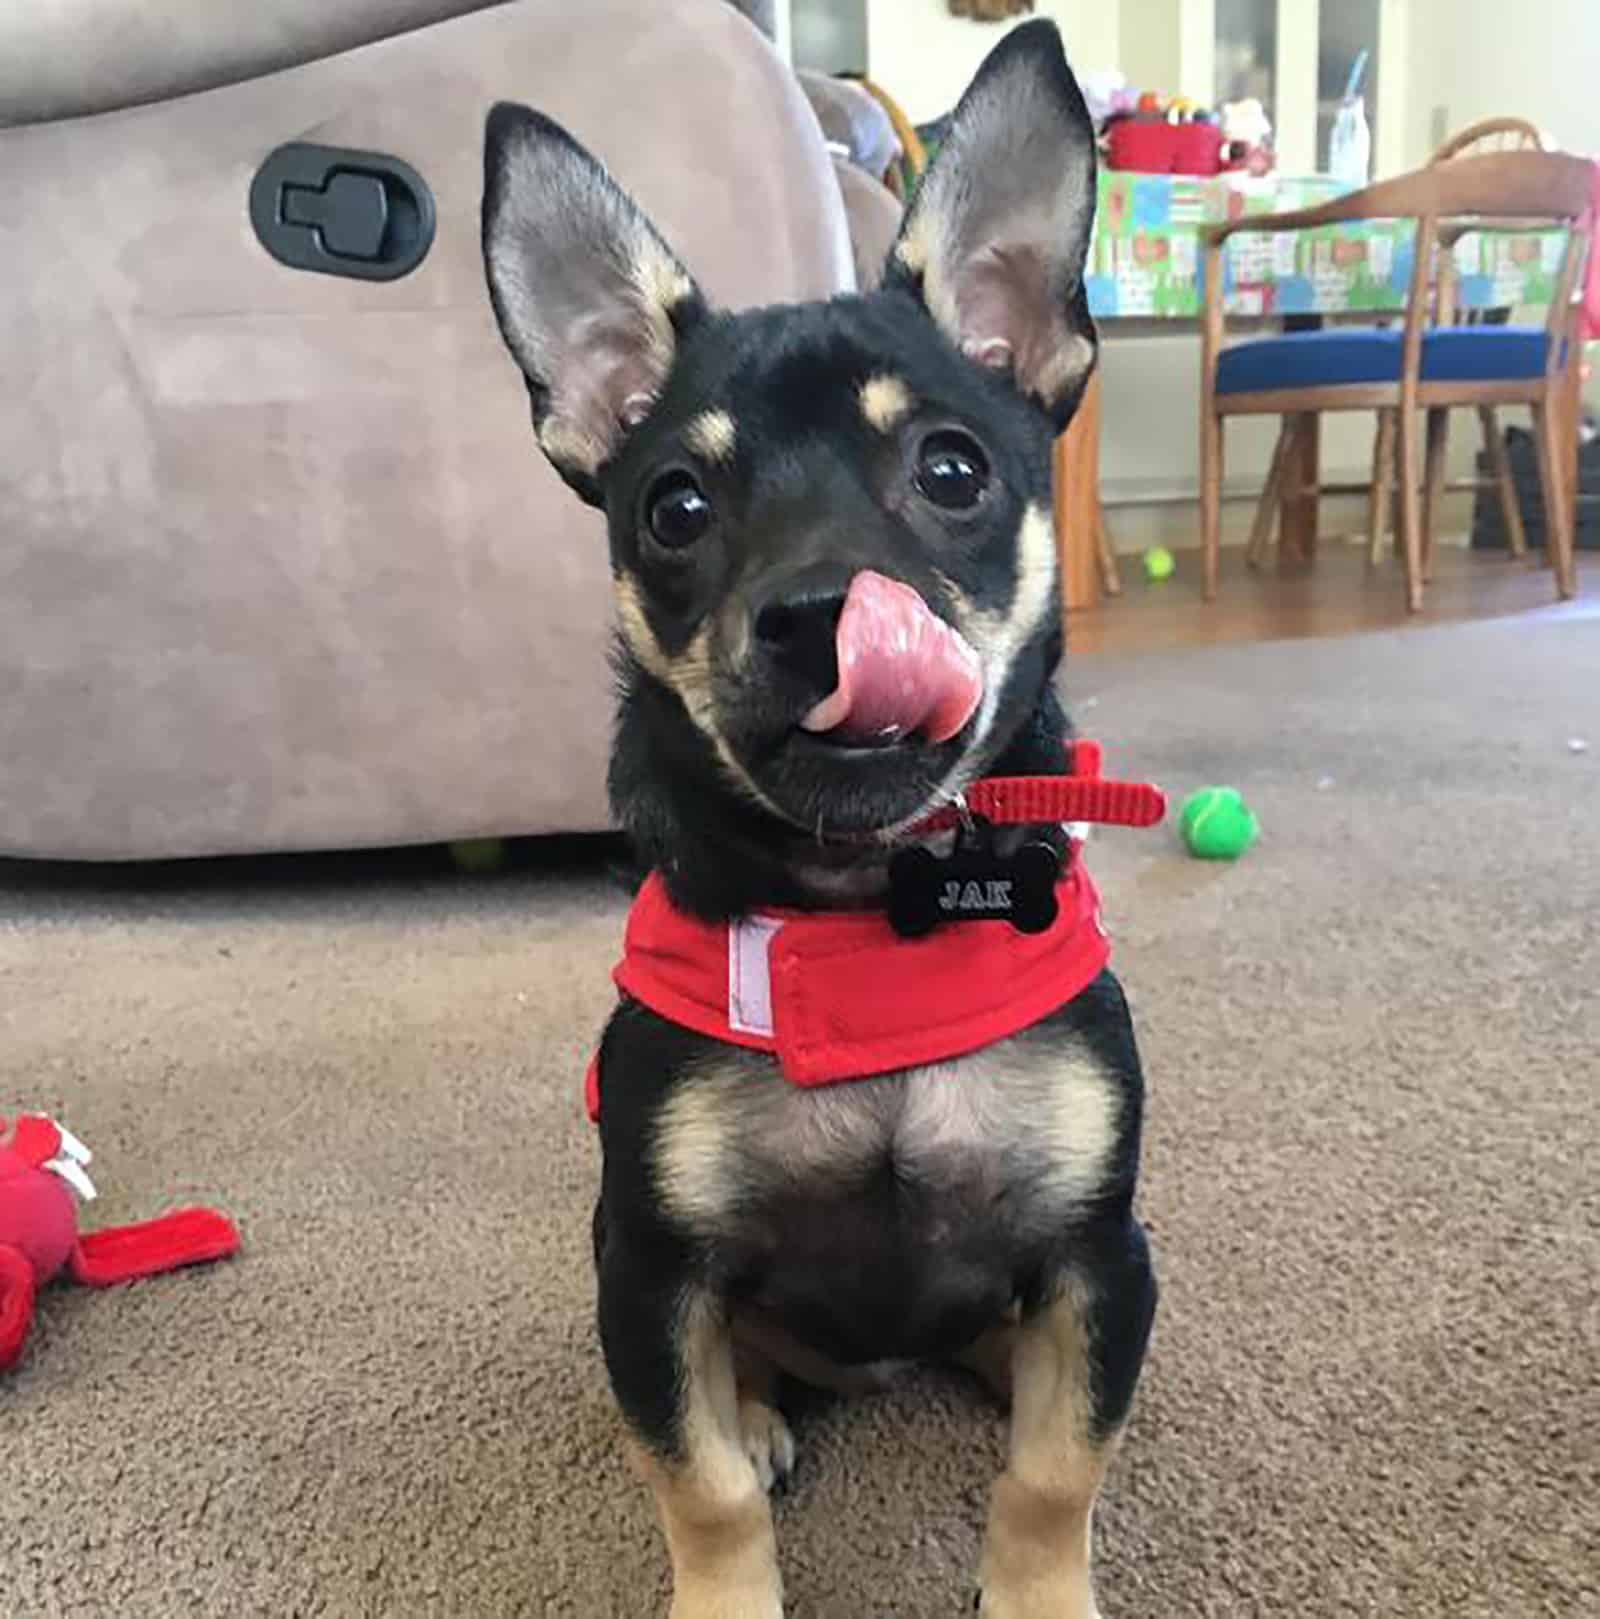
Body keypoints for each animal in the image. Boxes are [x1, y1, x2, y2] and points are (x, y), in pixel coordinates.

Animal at [482, 25, 1153, 1619]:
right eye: (672, 507)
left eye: (953, 470)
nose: (815, 616)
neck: (866, 913)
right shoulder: (648, 1269)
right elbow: (703, 1485)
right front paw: (727, 1581)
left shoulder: (1099, 1256)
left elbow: (1055, 1471)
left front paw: (1040, 1592)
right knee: (743, 1386)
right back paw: (769, 1408)